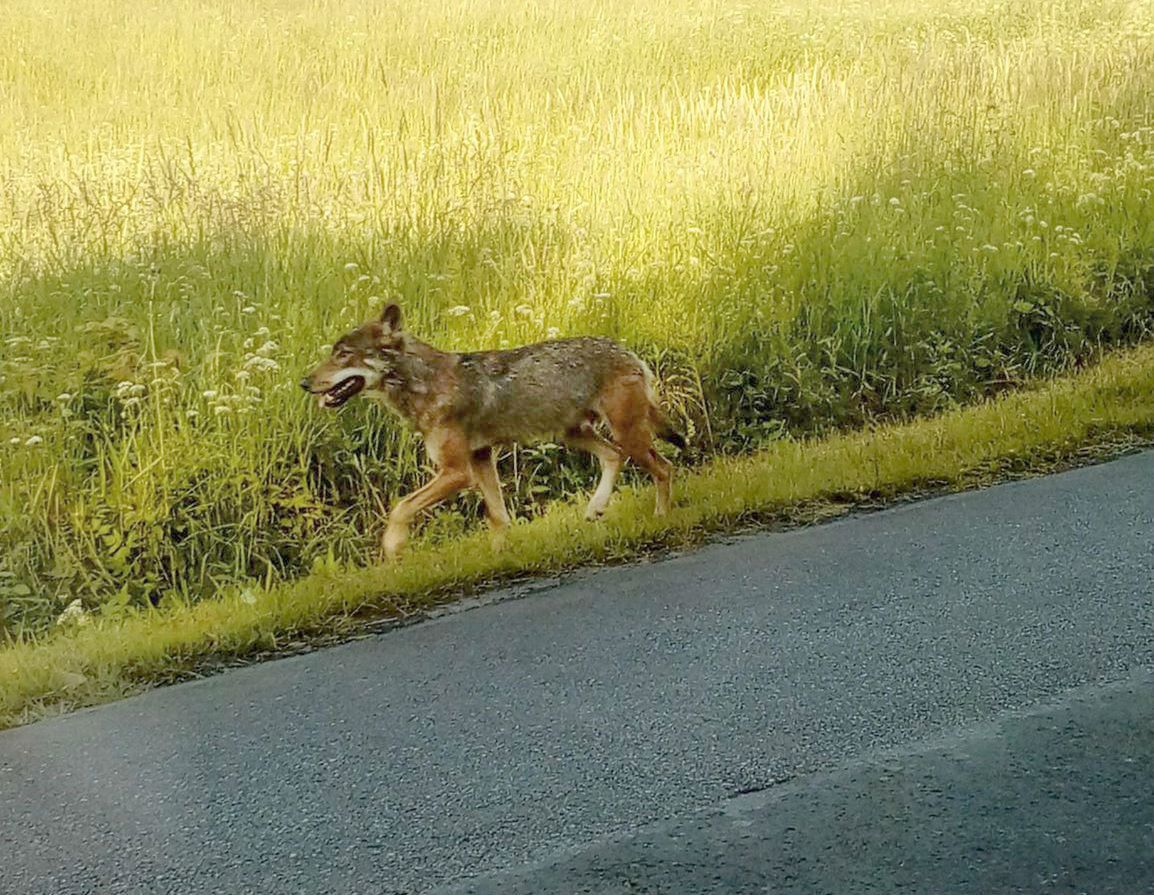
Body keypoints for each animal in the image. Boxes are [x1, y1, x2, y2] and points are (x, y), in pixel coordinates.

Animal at [300, 306, 683, 558]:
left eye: (343, 355)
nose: (304, 383)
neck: (425, 385)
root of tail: (628, 351)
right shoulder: (480, 459)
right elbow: (498, 518)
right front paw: (501, 558)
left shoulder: (456, 472)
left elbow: (401, 507)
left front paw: (393, 549)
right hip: (575, 434)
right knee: (615, 457)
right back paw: (596, 508)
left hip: (626, 435)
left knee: (664, 468)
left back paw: (661, 518)